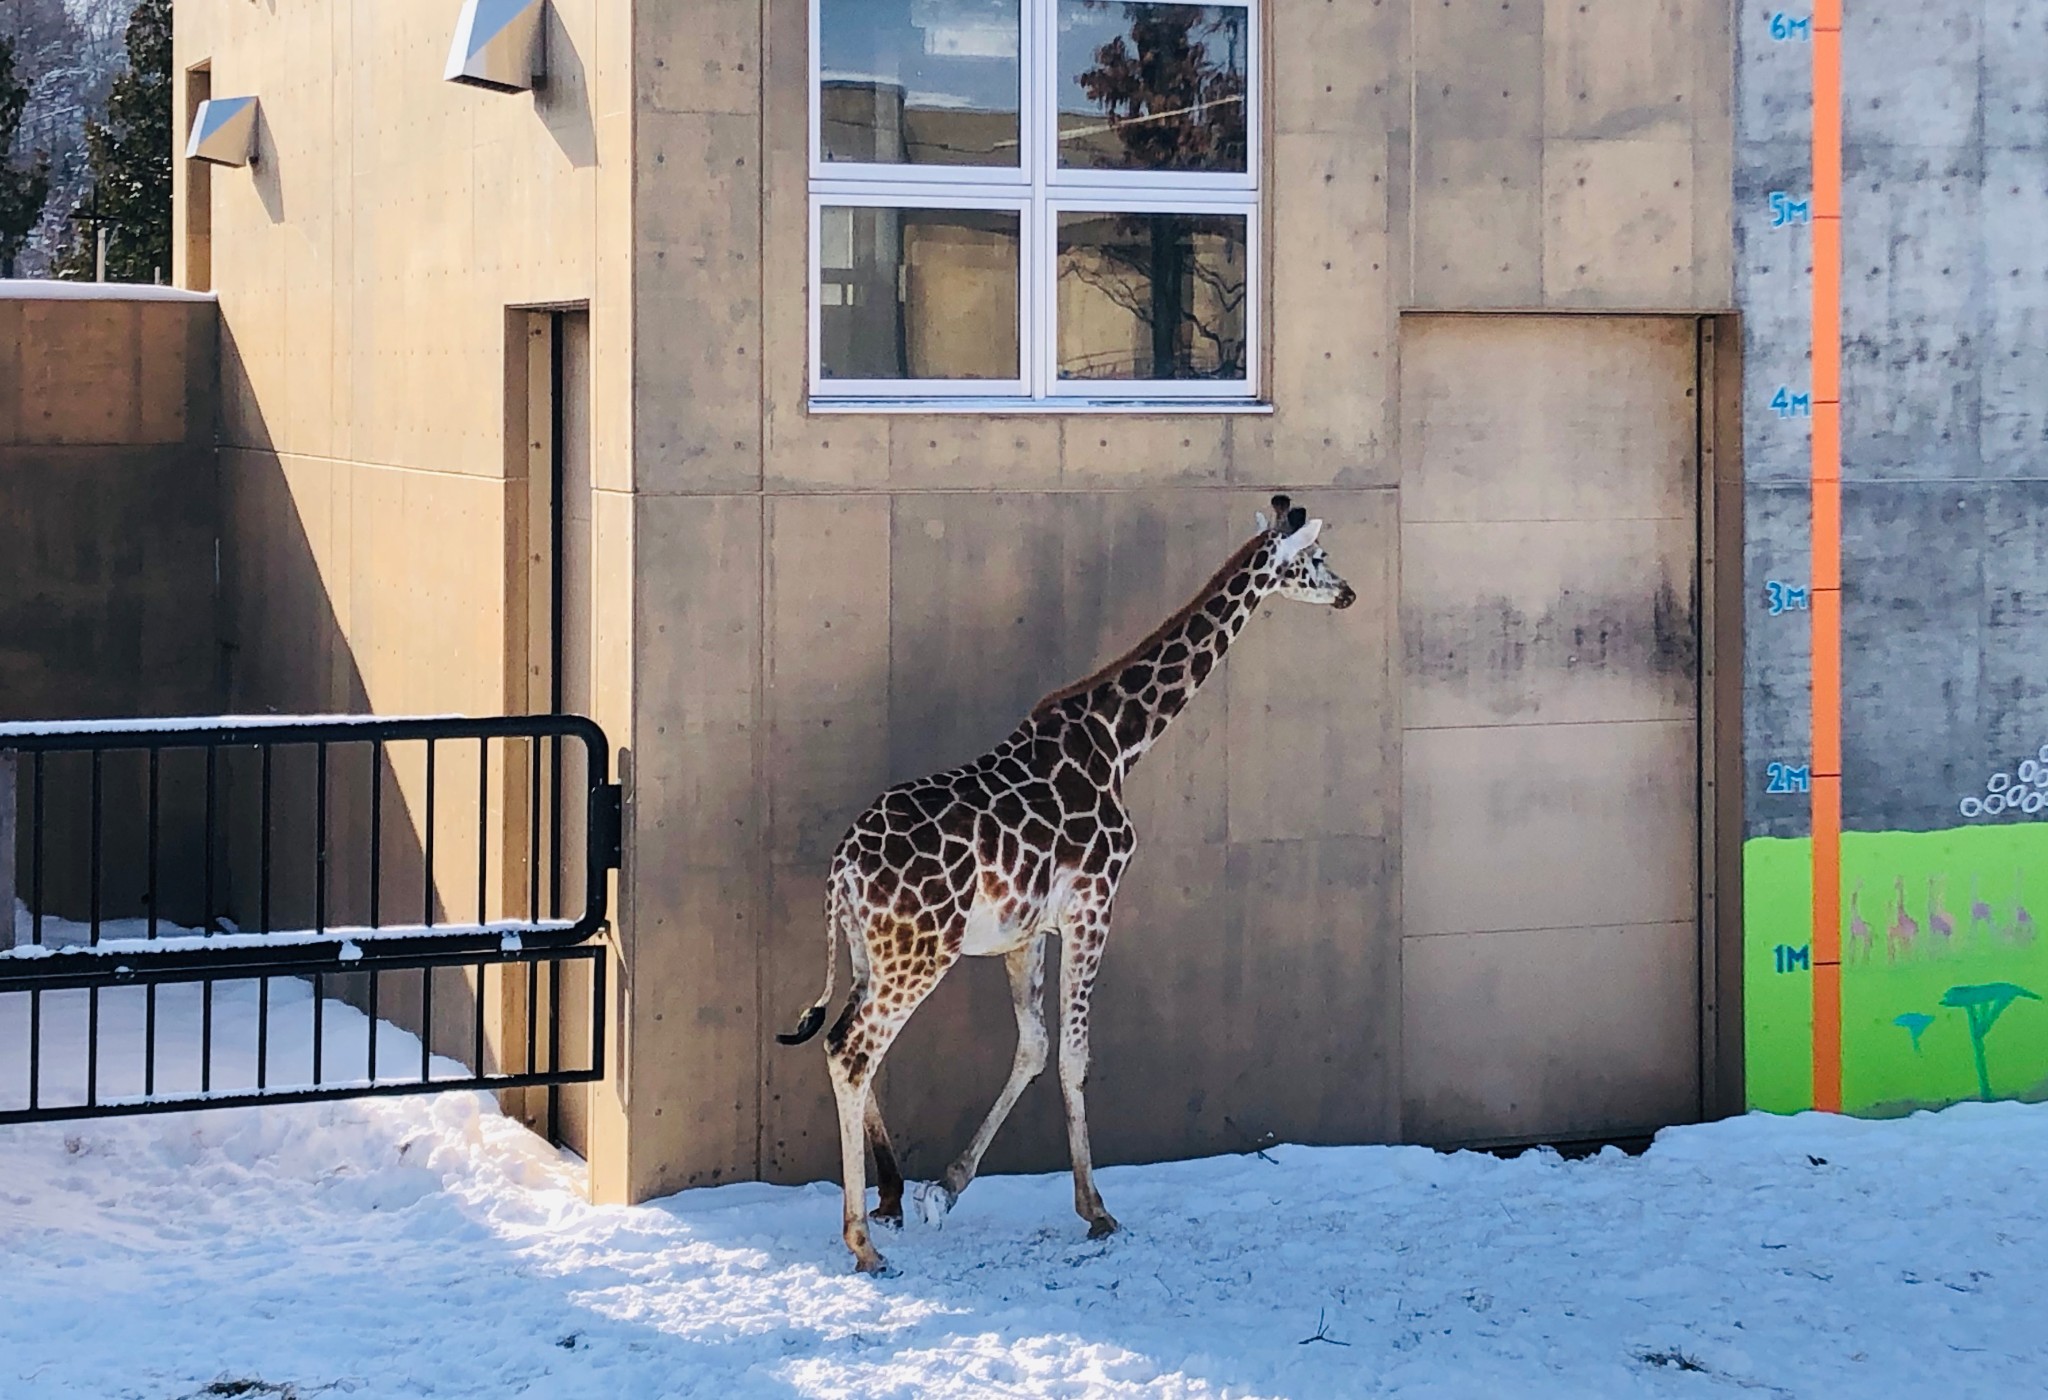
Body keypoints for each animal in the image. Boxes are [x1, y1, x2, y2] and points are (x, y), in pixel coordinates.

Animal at [774, 495, 1351, 1269]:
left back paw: (888, 1197)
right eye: (1315, 558)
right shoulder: (1094, 904)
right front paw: (1097, 1210)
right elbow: (1075, 1055)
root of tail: (841, 871)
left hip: (873, 951)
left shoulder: (1026, 932)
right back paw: (862, 1243)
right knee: (853, 1049)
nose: (1348, 593)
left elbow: (1035, 1045)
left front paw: (943, 1189)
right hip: (919, 954)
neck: (1121, 741)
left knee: (847, 1039)